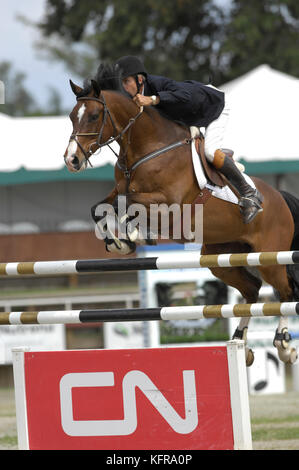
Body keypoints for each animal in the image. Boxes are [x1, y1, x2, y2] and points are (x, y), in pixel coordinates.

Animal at [63, 65, 299, 368]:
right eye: (72, 116)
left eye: (93, 116)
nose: (71, 160)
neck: (146, 148)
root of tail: (279, 196)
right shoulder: (119, 190)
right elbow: (100, 208)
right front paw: (119, 243)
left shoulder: (168, 203)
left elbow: (128, 204)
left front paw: (131, 235)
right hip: (221, 258)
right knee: (252, 289)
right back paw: (239, 343)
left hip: (269, 256)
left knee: (284, 292)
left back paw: (284, 345)